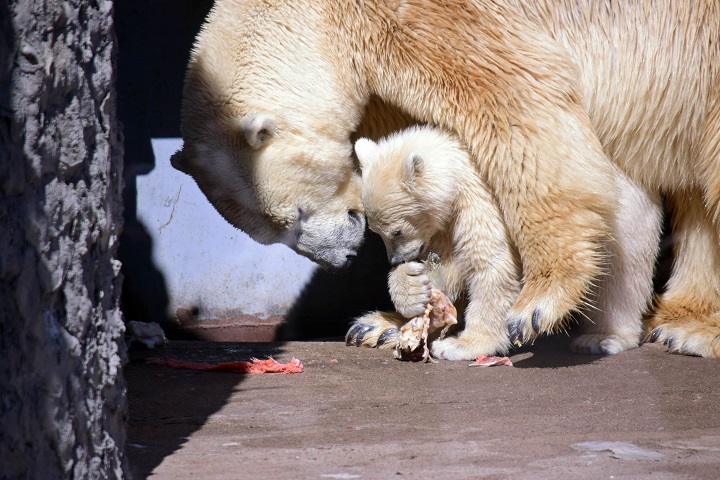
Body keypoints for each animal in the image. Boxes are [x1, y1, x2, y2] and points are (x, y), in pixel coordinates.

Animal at [173, 0, 720, 358]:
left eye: (295, 215)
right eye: (273, 236)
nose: (341, 259)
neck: (317, 16)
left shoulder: (421, 18)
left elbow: (520, 95)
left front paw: (538, 301)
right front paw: (385, 321)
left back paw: (692, 334)